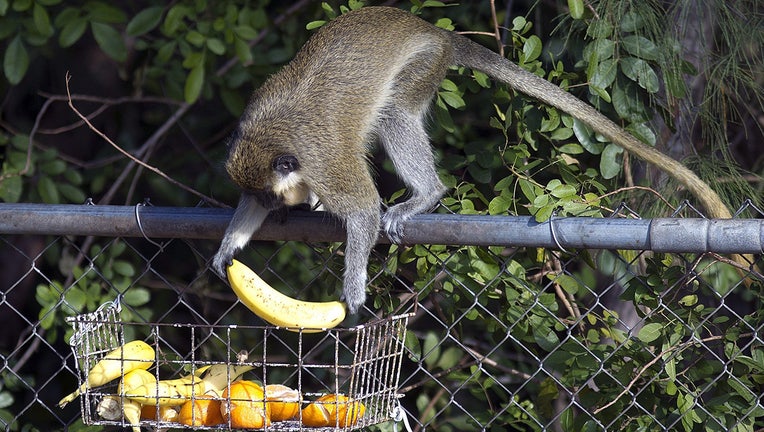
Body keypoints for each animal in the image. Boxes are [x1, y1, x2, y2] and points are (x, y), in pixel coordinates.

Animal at [210, 5, 728, 312]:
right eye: (260, 198)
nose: (274, 209)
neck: (275, 132)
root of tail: (433, 31)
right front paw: (230, 245)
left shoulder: (324, 162)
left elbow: (362, 208)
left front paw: (353, 287)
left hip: (424, 64)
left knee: (395, 113)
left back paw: (426, 195)